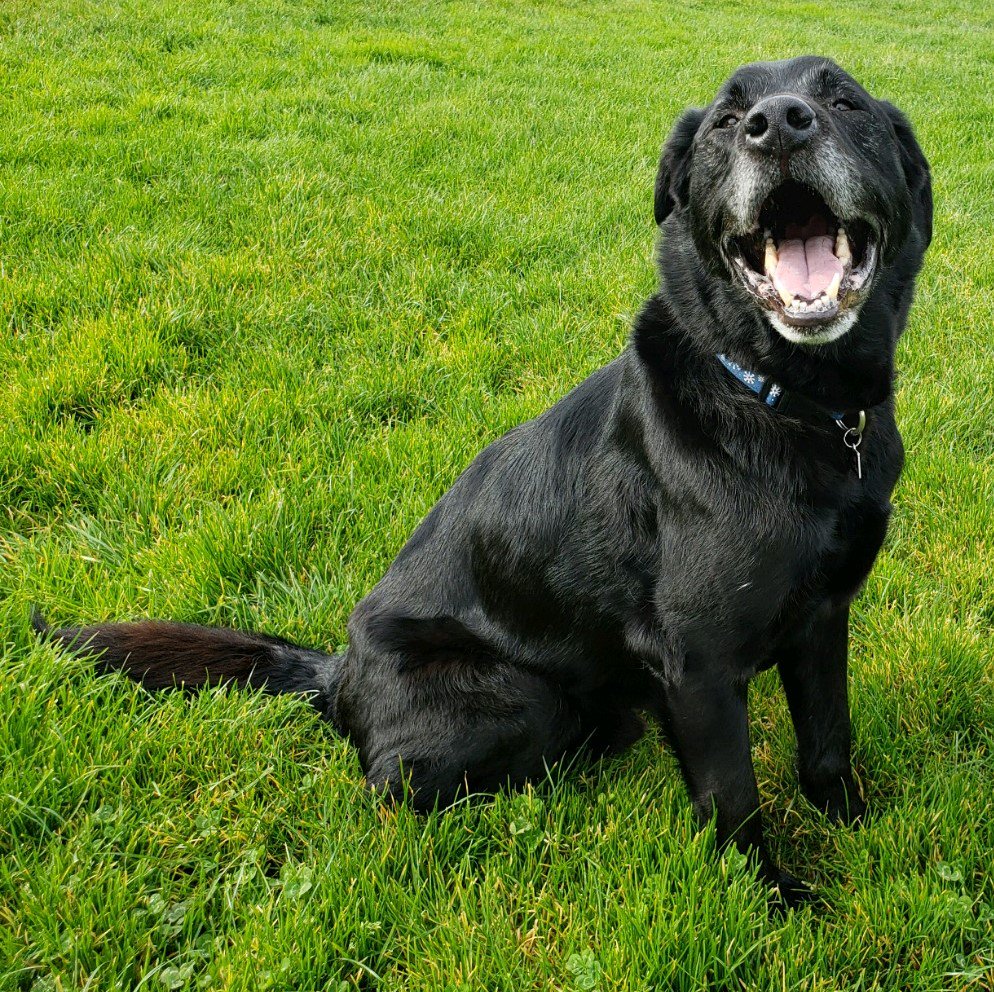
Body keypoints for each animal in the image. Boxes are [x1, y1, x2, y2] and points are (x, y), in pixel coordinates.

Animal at [42, 58, 928, 904]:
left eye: (844, 101)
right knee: (398, 789)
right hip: (516, 700)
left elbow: (827, 743)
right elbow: (733, 800)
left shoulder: (823, 618)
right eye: (723, 118)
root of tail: (337, 676)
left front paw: (859, 831)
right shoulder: (700, 666)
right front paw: (775, 901)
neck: (791, 404)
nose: (778, 123)